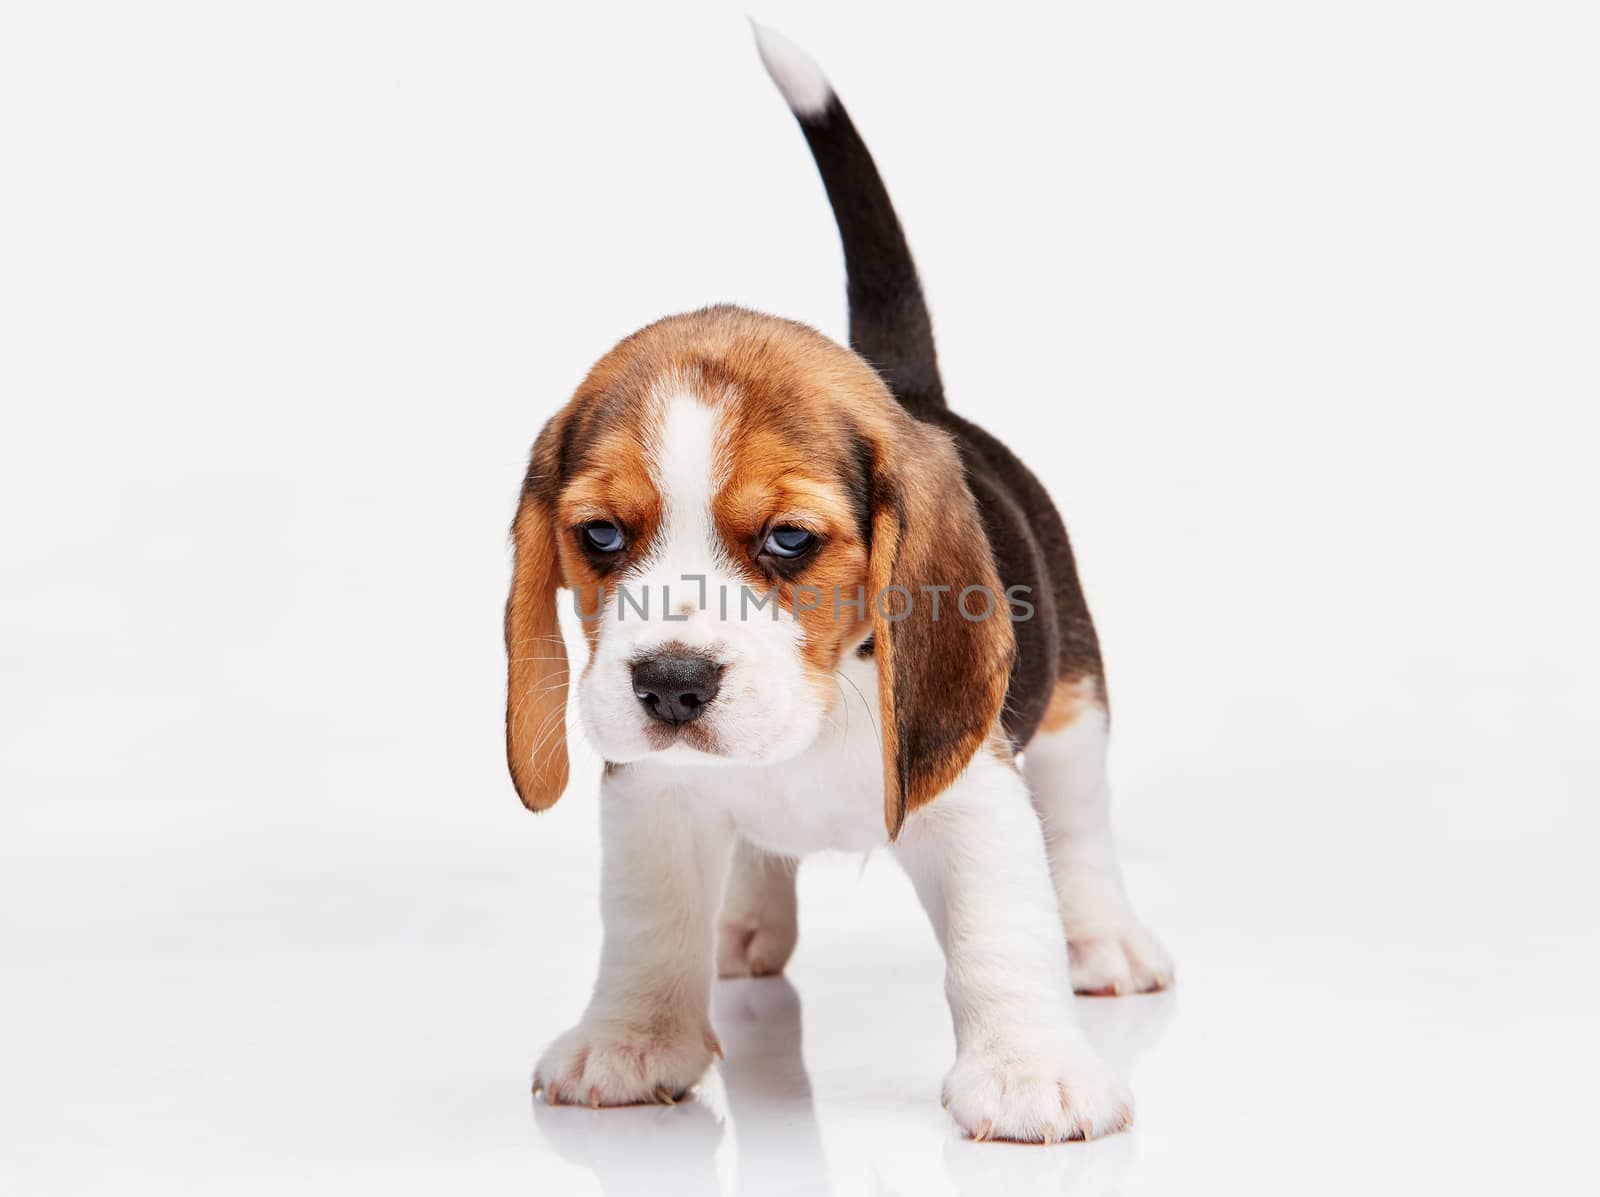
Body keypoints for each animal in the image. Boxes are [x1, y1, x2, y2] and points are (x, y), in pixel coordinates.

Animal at [515, 25, 1177, 1139]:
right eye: (599, 534)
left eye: (789, 540)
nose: (671, 684)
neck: (817, 705)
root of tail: (910, 390)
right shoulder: (653, 796)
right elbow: (648, 922)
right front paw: (632, 1038)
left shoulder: (976, 793)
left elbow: (1002, 929)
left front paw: (1028, 1070)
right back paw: (742, 925)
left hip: (1074, 704)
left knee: (1080, 821)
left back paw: (1102, 939)